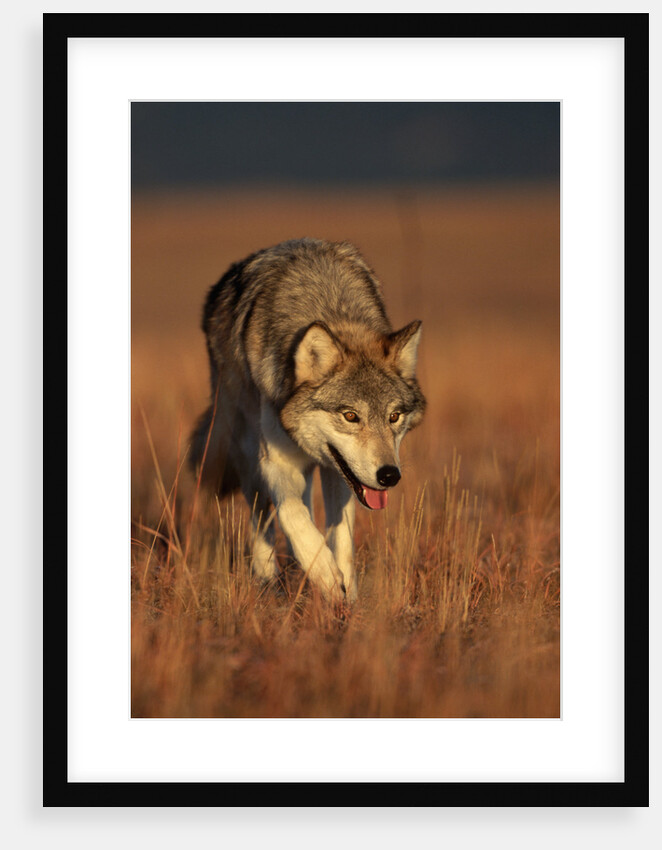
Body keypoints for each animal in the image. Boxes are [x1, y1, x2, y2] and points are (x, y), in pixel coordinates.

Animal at [190, 238, 426, 603]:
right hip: (245, 447)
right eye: (351, 416)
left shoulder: (340, 472)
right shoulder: (274, 459)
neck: (330, 307)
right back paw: (268, 579)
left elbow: (341, 534)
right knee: (263, 512)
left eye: (394, 416)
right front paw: (325, 576)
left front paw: (346, 595)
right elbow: (292, 514)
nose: (389, 476)